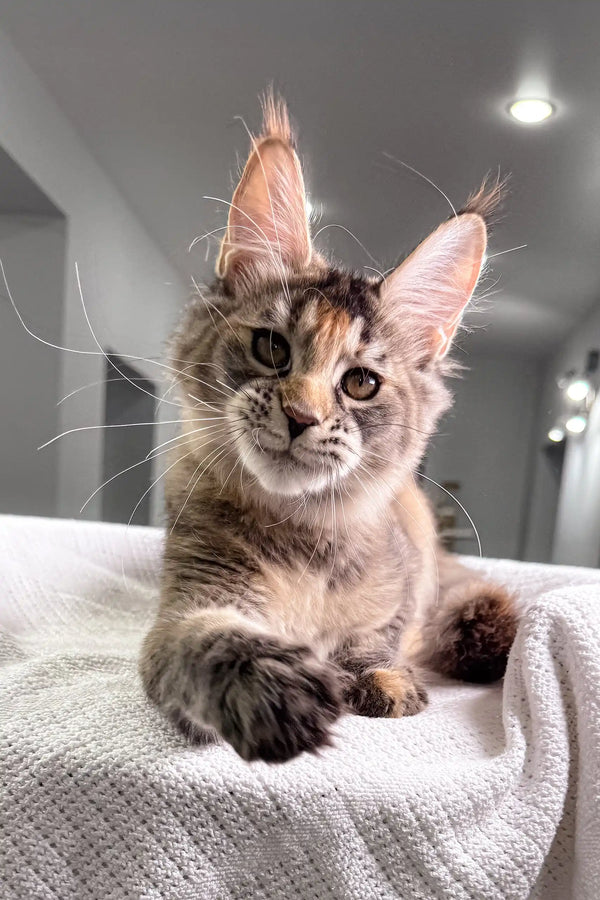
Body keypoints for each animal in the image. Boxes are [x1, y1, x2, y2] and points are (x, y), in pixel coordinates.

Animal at [139, 96, 516, 760]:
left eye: (360, 383)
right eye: (271, 348)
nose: (301, 416)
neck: (302, 540)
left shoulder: (400, 593)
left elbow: (378, 637)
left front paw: (380, 678)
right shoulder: (187, 606)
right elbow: (206, 641)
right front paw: (274, 688)